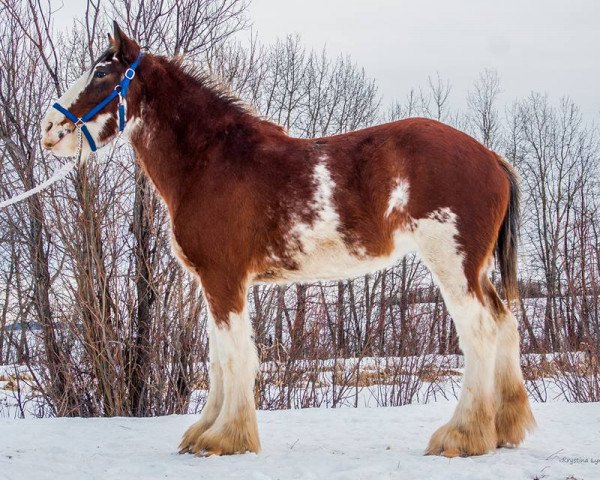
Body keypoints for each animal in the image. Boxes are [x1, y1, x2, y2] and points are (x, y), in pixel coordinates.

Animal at [41, 23, 536, 458]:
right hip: (475, 269)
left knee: (479, 331)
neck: (211, 161)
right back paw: (503, 429)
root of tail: (490, 157)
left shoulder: (224, 279)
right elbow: (217, 359)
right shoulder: (213, 282)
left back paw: (462, 436)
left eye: (101, 72)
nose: (48, 128)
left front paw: (226, 438)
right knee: (504, 323)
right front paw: (204, 432)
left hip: (452, 264)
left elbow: (236, 357)